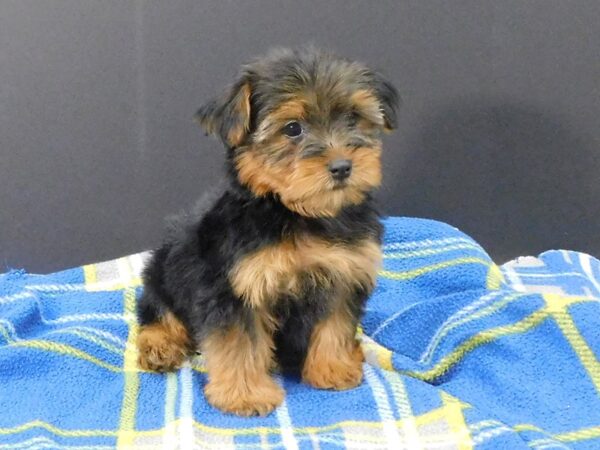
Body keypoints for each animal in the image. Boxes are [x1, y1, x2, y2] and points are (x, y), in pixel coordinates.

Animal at [136, 47, 398, 416]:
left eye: (352, 118)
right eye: (293, 129)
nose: (343, 167)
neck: (299, 214)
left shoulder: (345, 274)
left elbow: (335, 324)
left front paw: (333, 369)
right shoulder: (235, 286)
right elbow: (240, 343)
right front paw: (246, 395)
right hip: (164, 269)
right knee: (157, 310)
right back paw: (159, 346)